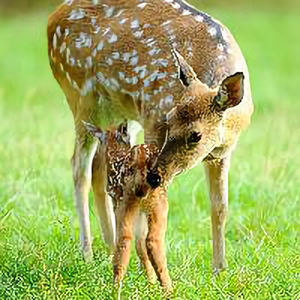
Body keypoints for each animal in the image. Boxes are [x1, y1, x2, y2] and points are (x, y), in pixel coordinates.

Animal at [47, 0, 253, 272]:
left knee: (100, 168)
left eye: (195, 135)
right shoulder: (153, 120)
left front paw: (219, 270)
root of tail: (52, 17)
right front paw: (149, 267)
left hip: (118, 114)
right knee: (79, 168)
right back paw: (87, 253)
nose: (156, 174)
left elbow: (220, 206)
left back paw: (111, 247)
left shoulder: (222, 153)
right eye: (170, 117)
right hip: (80, 96)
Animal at [84, 122, 172, 296]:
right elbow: (141, 244)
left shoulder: (119, 202)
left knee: (127, 240)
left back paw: (115, 290)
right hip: (155, 202)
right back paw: (168, 291)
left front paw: (150, 284)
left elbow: (138, 244)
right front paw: (151, 285)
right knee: (149, 240)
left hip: (128, 203)